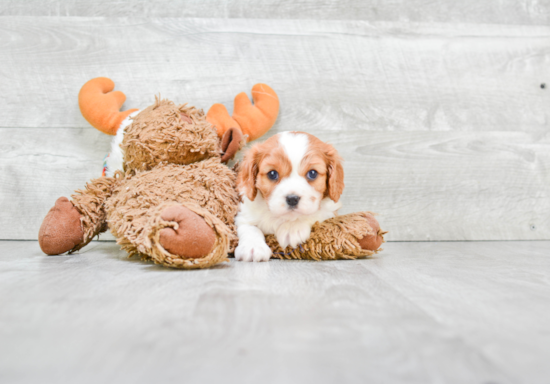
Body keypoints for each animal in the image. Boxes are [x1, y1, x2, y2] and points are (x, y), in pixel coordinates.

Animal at [234, 131, 344, 260]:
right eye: (272, 174)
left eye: (312, 173)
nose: (292, 199)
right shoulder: (245, 214)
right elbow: (250, 227)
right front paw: (253, 246)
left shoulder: (330, 212)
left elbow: (313, 214)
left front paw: (292, 228)